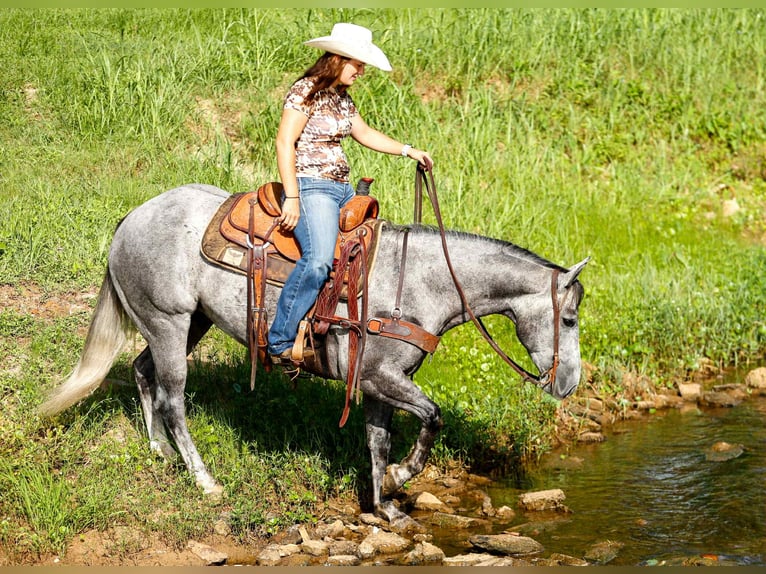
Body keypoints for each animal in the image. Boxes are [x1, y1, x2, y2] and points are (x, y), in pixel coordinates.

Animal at [39, 182, 588, 528]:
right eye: (569, 319)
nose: (568, 385)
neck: (417, 281)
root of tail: (130, 219)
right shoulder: (383, 378)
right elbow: (432, 418)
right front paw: (400, 478)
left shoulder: (376, 385)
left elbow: (377, 443)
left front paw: (384, 507)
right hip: (170, 324)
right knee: (174, 399)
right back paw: (204, 481)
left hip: (185, 324)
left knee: (142, 371)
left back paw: (159, 451)